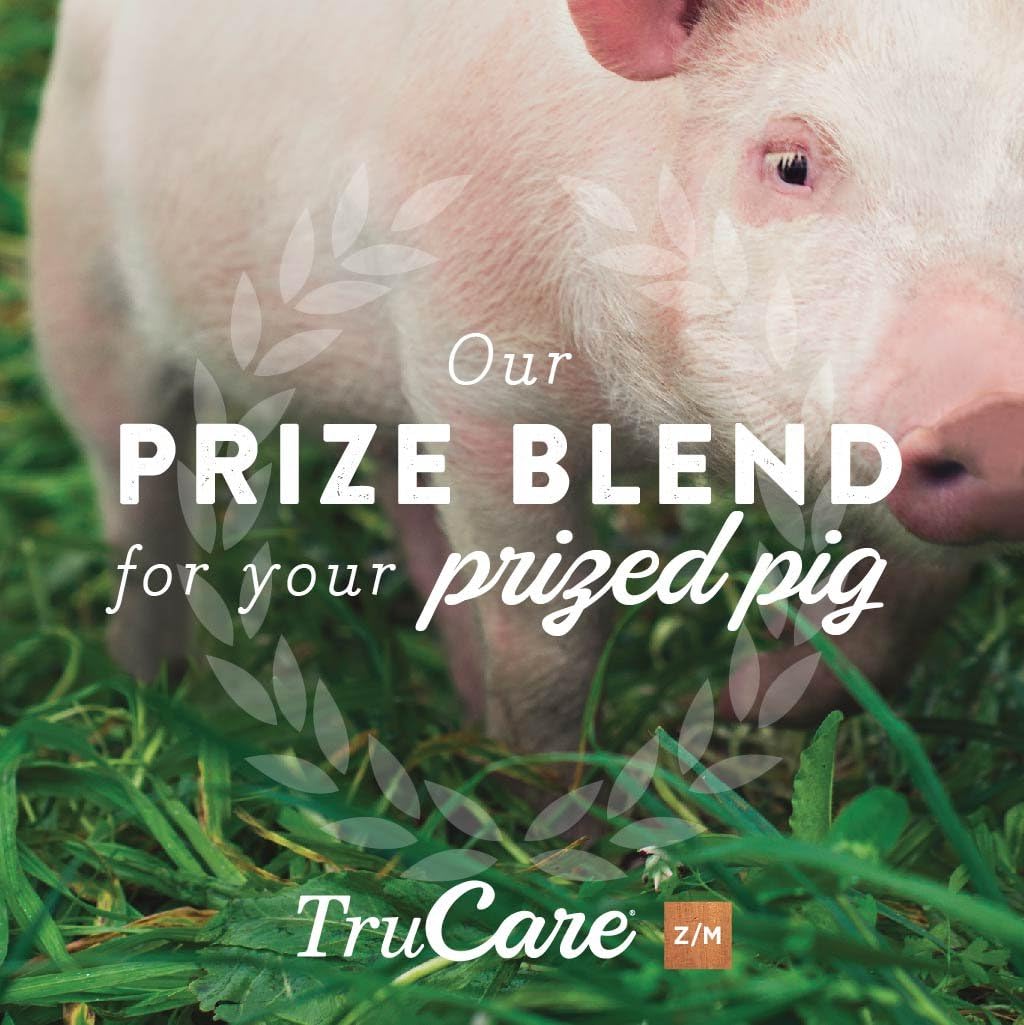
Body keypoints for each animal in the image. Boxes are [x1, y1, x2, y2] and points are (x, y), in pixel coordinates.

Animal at [29, 0, 1024, 753]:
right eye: (790, 162)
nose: (997, 414)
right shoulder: (480, 372)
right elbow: (549, 648)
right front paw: (567, 835)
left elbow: (907, 604)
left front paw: (736, 700)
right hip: (76, 266)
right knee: (137, 492)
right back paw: (149, 694)